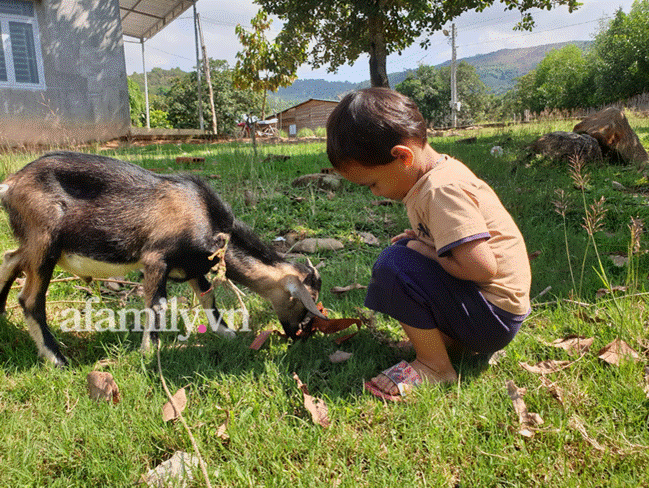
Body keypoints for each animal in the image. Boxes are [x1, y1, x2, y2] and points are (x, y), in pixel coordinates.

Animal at [0, 152, 324, 366]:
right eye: (302, 302)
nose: (299, 335)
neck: (206, 215)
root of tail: (11, 184)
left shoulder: (193, 266)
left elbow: (208, 297)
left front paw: (227, 333)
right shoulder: (156, 258)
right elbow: (157, 304)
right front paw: (149, 353)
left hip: (32, 243)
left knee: (10, 258)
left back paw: (2, 316)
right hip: (45, 241)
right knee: (30, 299)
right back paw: (56, 358)